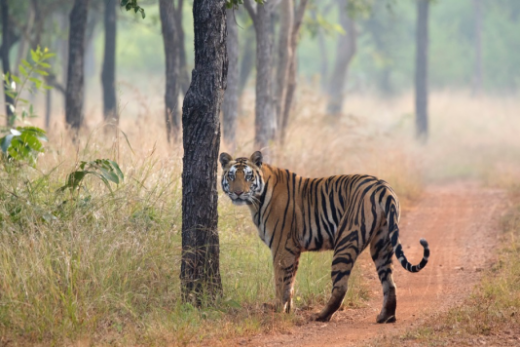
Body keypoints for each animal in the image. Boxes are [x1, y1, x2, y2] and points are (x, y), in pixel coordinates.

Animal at [217, 152, 428, 324]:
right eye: (231, 176)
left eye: (248, 176)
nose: (238, 192)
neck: (257, 200)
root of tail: (382, 188)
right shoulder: (293, 250)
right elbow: (290, 282)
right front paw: (288, 311)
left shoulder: (281, 247)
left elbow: (280, 282)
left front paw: (277, 309)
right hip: (382, 242)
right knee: (389, 282)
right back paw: (386, 317)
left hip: (346, 240)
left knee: (341, 286)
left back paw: (321, 316)